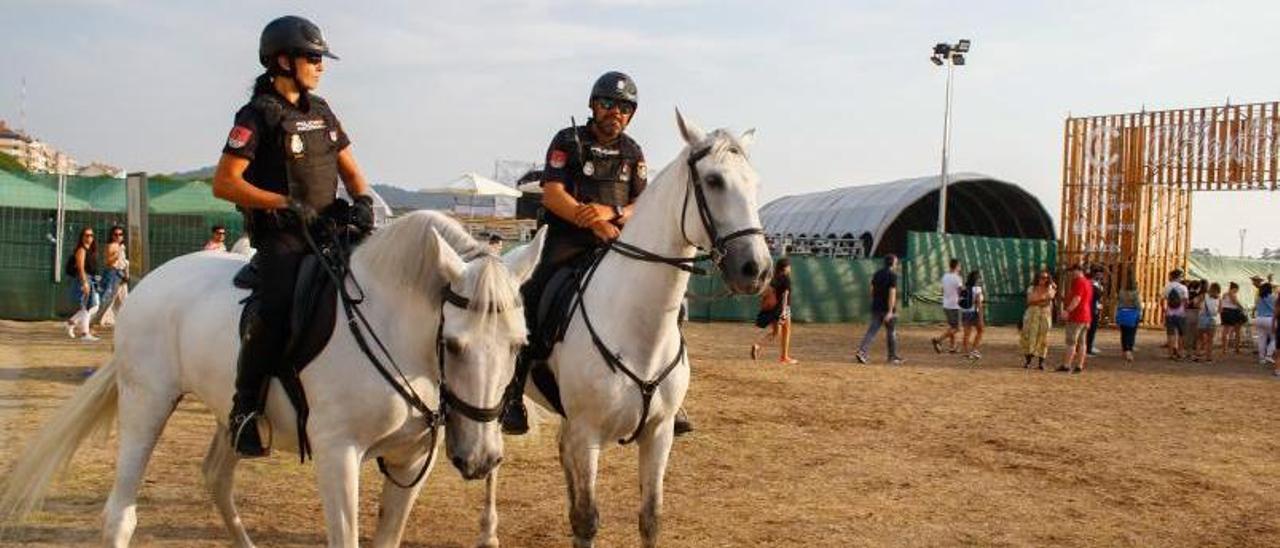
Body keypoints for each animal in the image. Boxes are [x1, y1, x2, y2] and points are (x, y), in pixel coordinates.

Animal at [0, 211, 545, 548]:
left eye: (520, 345)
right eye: (452, 344)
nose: (481, 458)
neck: (392, 327)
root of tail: (152, 279)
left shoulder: (410, 459)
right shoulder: (338, 453)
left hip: (231, 414)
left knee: (216, 478)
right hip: (147, 401)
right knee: (120, 513)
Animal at [488, 109, 768, 545]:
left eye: (754, 184)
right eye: (713, 181)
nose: (756, 269)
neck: (639, 331)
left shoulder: (659, 434)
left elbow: (650, 517)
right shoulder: (588, 435)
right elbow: (587, 521)